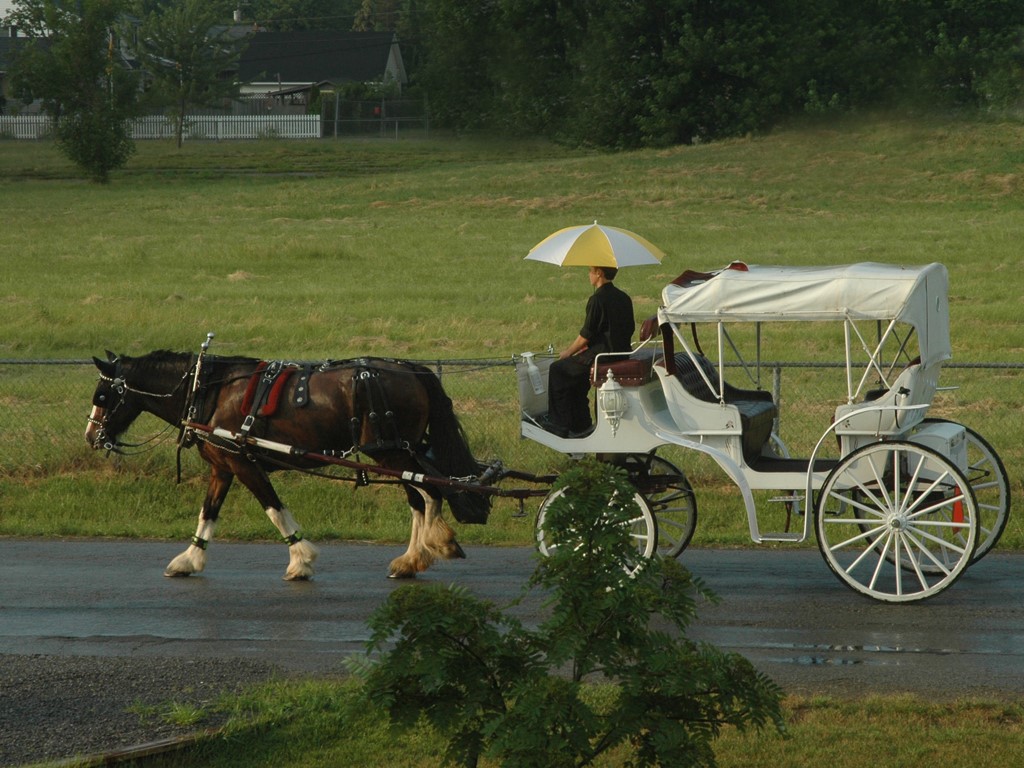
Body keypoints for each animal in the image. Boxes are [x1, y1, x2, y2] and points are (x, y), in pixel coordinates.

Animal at [83, 352, 491, 581]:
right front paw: (189, 559)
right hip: (399, 453)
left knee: (427, 493)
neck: (207, 391)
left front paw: (300, 560)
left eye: (102, 395)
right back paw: (411, 559)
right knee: (421, 496)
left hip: (390, 453)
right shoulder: (223, 465)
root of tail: (411, 369)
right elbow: (208, 511)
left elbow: (274, 508)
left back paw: (424, 551)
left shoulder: (242, 461)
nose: (91, 435)